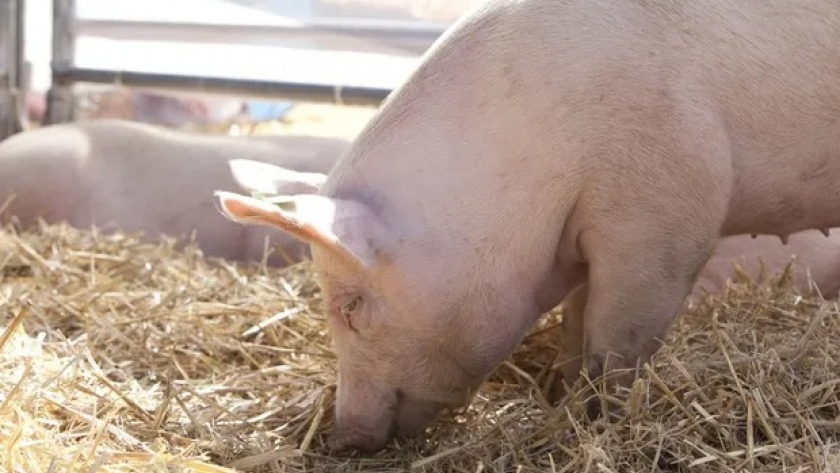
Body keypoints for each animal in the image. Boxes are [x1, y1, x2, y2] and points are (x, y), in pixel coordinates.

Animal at [214, 0, 840, 452]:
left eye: (348, 307)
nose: (341, 440)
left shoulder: (666, 211)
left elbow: (617, 336)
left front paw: (597, 416)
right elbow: (575, 318)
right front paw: (559, 392)